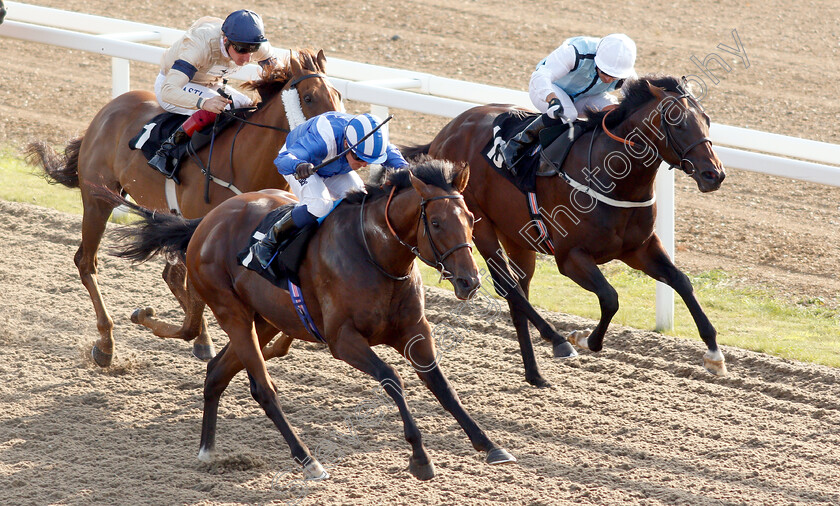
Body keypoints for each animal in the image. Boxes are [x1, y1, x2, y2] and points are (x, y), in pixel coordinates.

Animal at [27, 48, 342, 368]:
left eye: (338, 94)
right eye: (309, 98)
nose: (339, 136)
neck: (244, 160)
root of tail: (109, 108)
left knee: (172, 276)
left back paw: (201, 340)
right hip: (98, 199)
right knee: (86, 262)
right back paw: (106, 343)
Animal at [108, 160, 516, 480]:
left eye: (471, 219)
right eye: (435, 221)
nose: (470, 282)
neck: (376, 255)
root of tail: (206, 222)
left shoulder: (415, 332)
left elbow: (442, 387)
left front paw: (490, 445)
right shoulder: (343, 339)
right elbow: (392, 379)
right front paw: (420, 458)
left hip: (266, 319)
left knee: (217, 372)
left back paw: (207, 450)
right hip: (232, 313)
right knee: (263, 389)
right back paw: (308, 460)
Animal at [404, 75, 724, 386]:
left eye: (707, 120)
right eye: (678, 123)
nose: (714, 174)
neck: (615, 178)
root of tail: (447, 131)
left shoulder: (639, 248)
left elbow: (681, 281)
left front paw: (714, 354)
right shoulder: (571, 257)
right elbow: (610, 297)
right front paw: (583, 339)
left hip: (516, 236)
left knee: (519, 291)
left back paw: (534, 374)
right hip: (477, 225)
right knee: (508, 286)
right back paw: (558, 341)